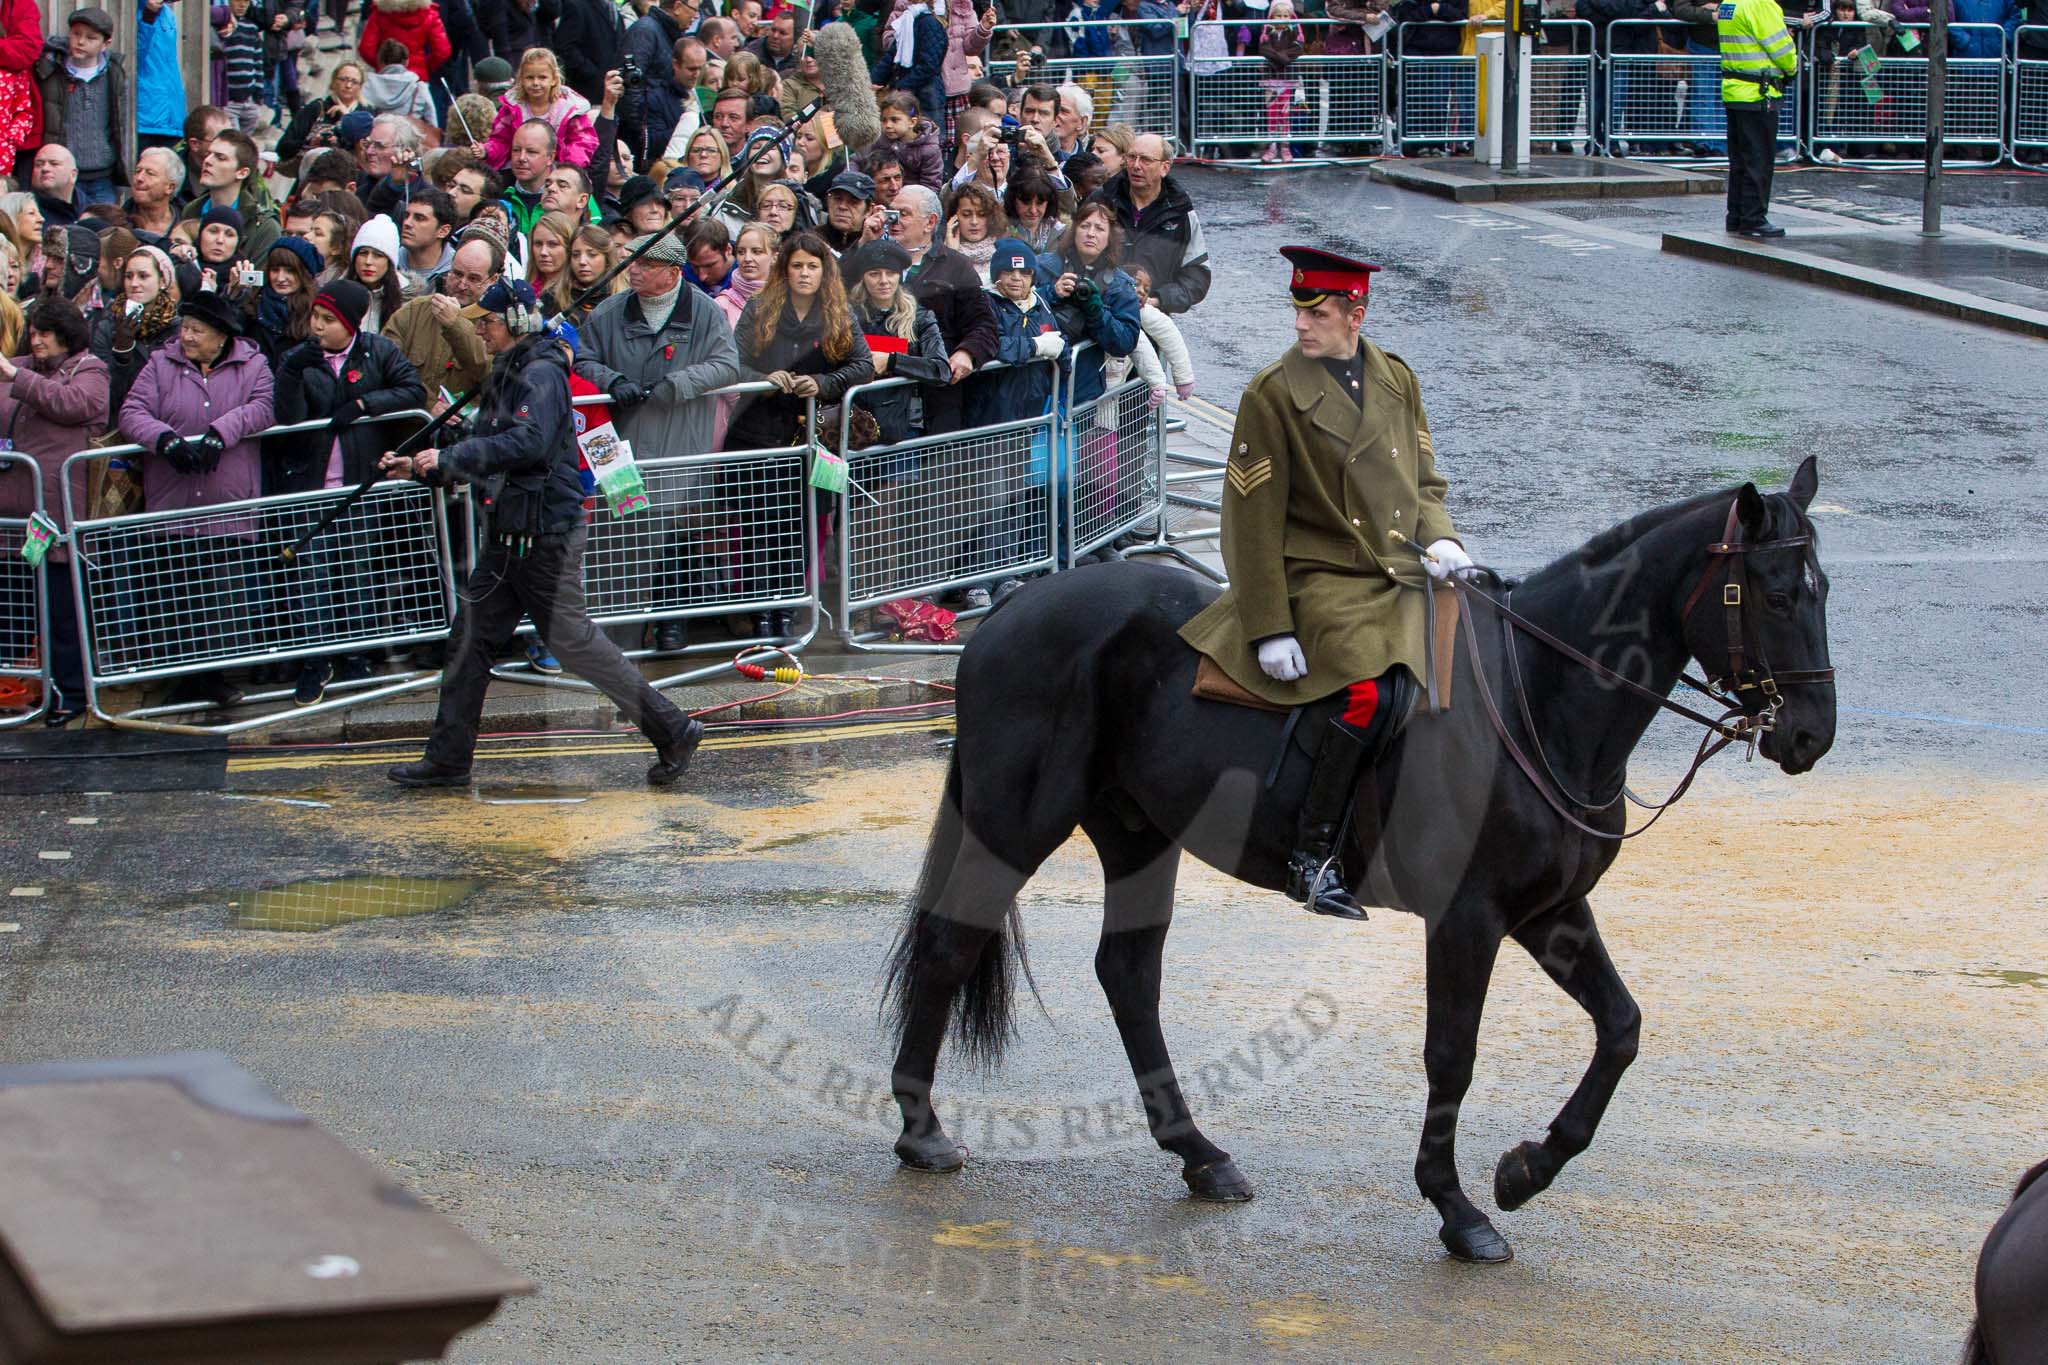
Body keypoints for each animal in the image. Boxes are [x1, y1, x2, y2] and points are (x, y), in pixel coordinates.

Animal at [880, 456, 1843, 1260]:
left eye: (1822, 588)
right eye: (1775, 593)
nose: (1810, 736)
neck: (1539, 695)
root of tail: (1013, 607)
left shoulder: (1549, 912)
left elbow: (1622, 1028)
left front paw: (1526, 1168)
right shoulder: (1468, 918)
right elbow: (1452, 1053)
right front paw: (1457, 1208)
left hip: (1139, 835)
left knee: (1127, 974)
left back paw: (1198, 1152)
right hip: (1014, 824)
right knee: (951, 946)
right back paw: (922, 1130)